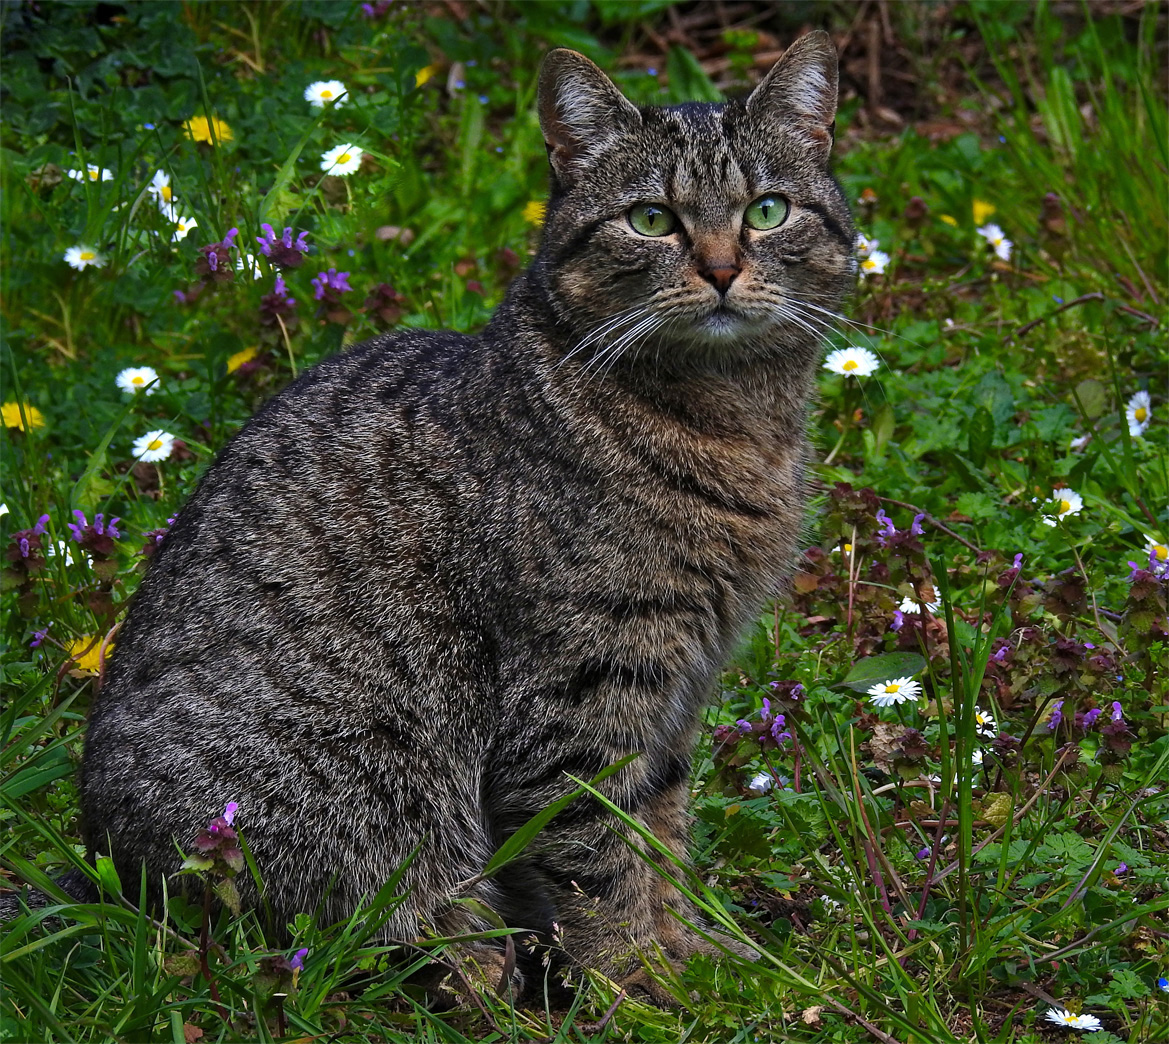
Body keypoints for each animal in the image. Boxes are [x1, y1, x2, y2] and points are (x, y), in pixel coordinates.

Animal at [77, 30, 855, 996]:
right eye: (651, 220)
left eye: (766, 210)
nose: (718, 268)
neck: (735, 425)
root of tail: (107, 870)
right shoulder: (579, 691)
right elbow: (599, 859)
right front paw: (640, 986)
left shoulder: (680, 688)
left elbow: (661, 833)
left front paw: (694, 957)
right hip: (382, 819)